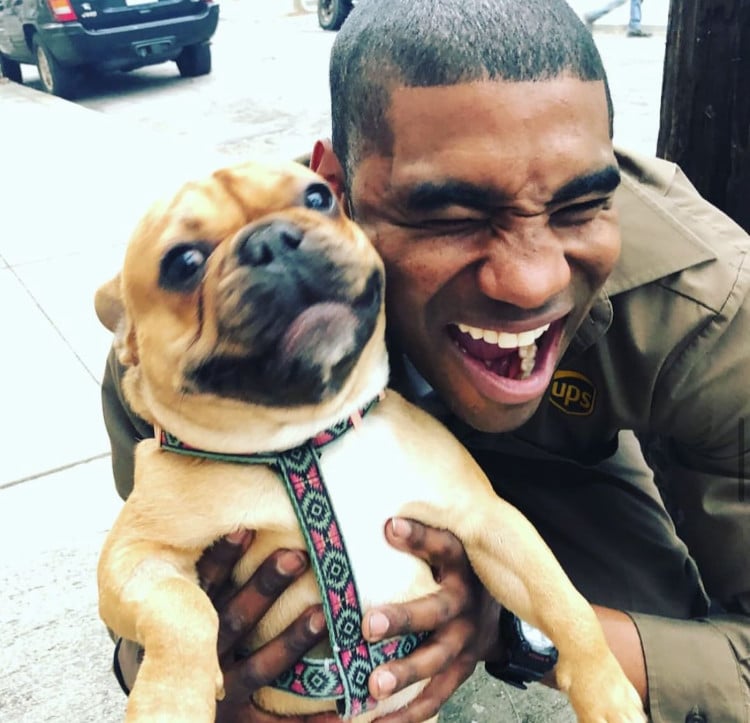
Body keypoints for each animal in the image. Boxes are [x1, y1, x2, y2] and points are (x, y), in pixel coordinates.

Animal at [94, 160, 648, 723]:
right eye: (182, 262)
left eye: (318, 198)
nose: (271, 239)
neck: (309, 439)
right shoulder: (137, 556)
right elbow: (182, 614)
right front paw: (170, 701)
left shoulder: (487, 519)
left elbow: (562, 600)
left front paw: (606, 692)